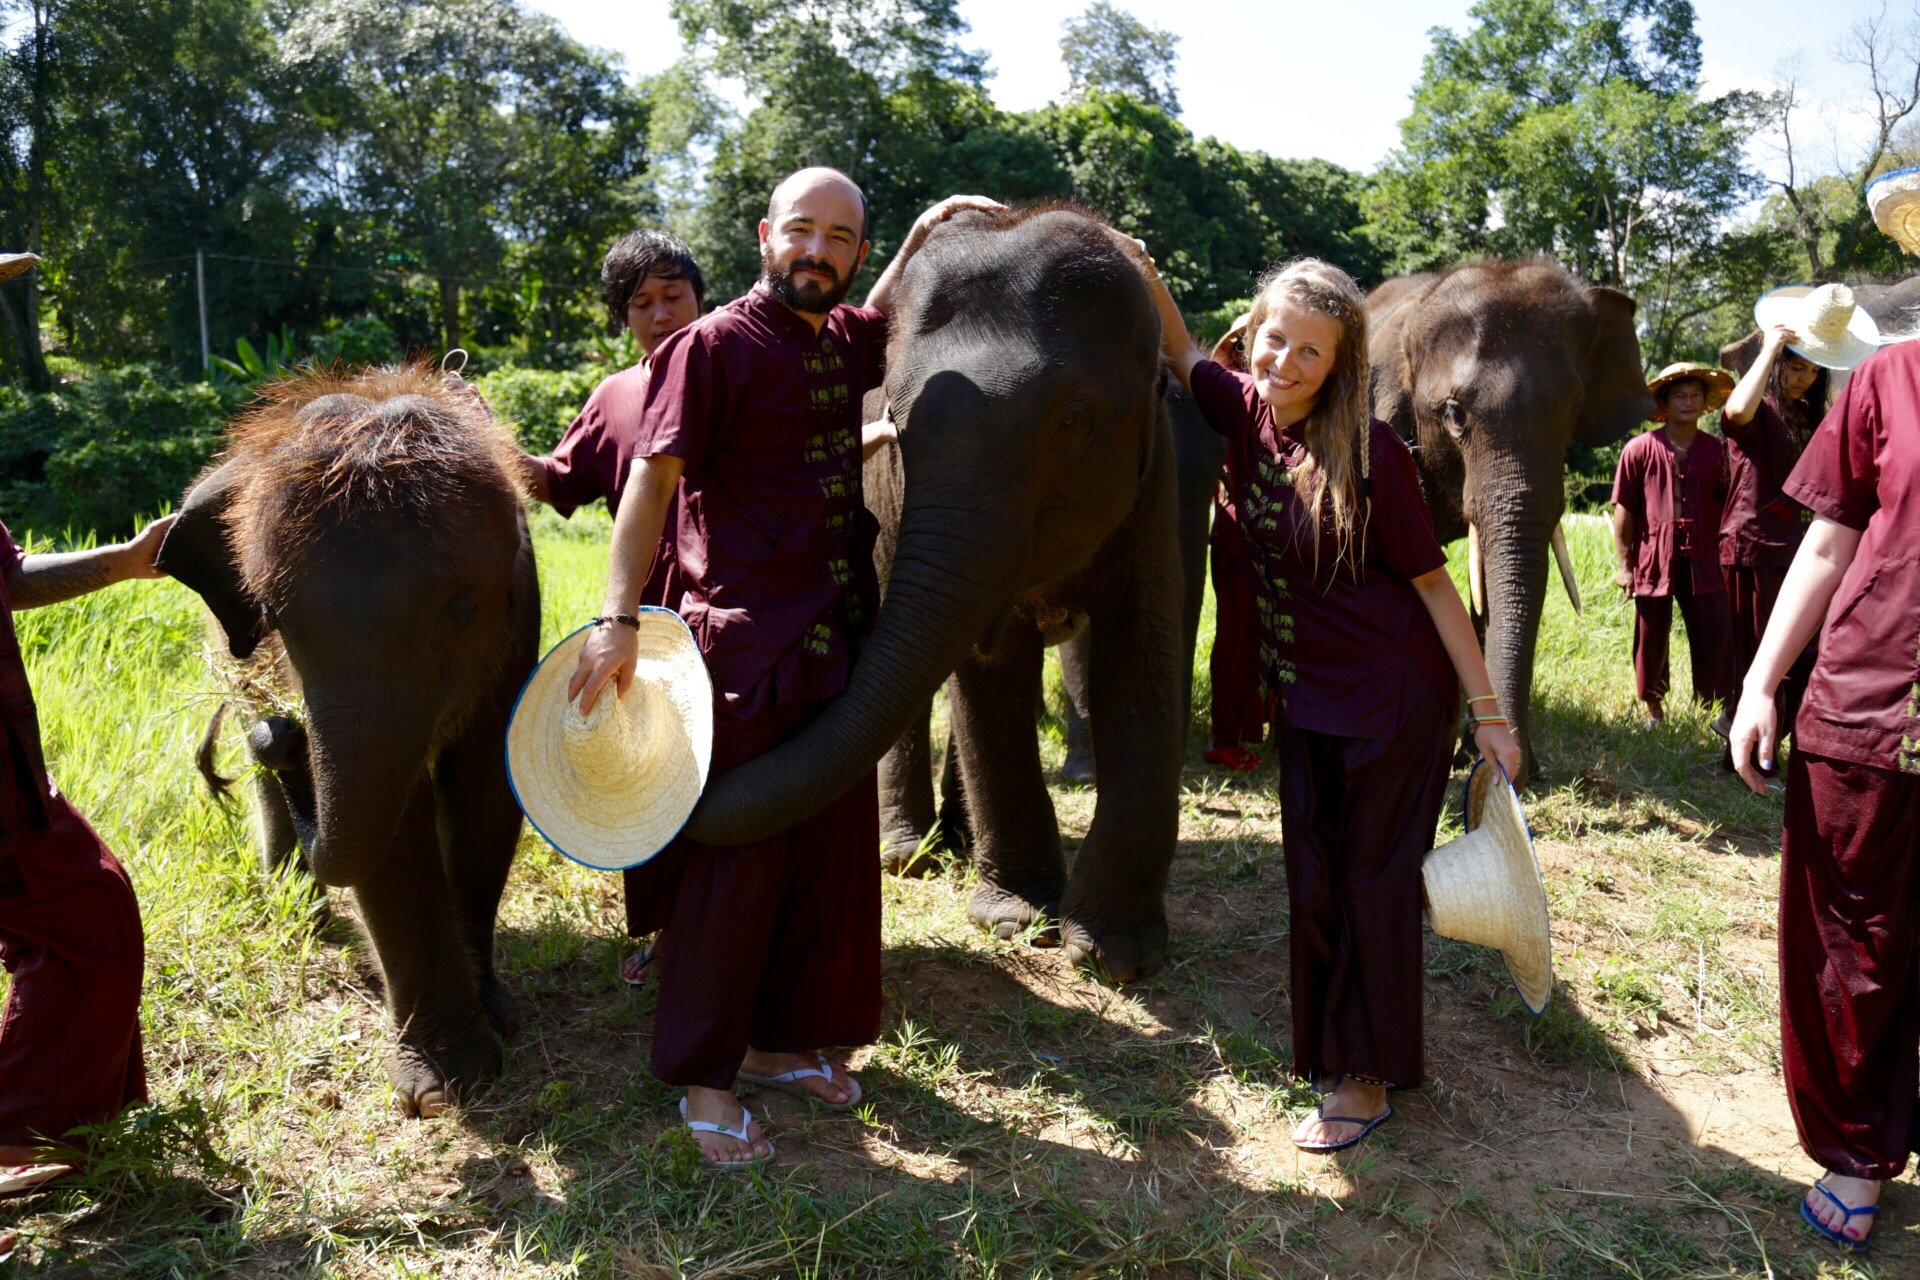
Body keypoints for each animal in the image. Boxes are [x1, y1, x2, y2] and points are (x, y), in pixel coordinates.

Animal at [151, 364, 533, 1113]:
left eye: (460, 607)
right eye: (272, 614)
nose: (284, 734)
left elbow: (482, 793)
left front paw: (497, 1016)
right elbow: (395, 828)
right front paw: (445, 1088)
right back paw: (296, 910)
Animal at [683, 205, 1175, 982]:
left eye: (1072, 423)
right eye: (894, 424)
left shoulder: (1158, 487)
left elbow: (1142, 660)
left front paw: (1115, 955)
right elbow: (988, 677)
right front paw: (1015, 921)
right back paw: (908, 855)